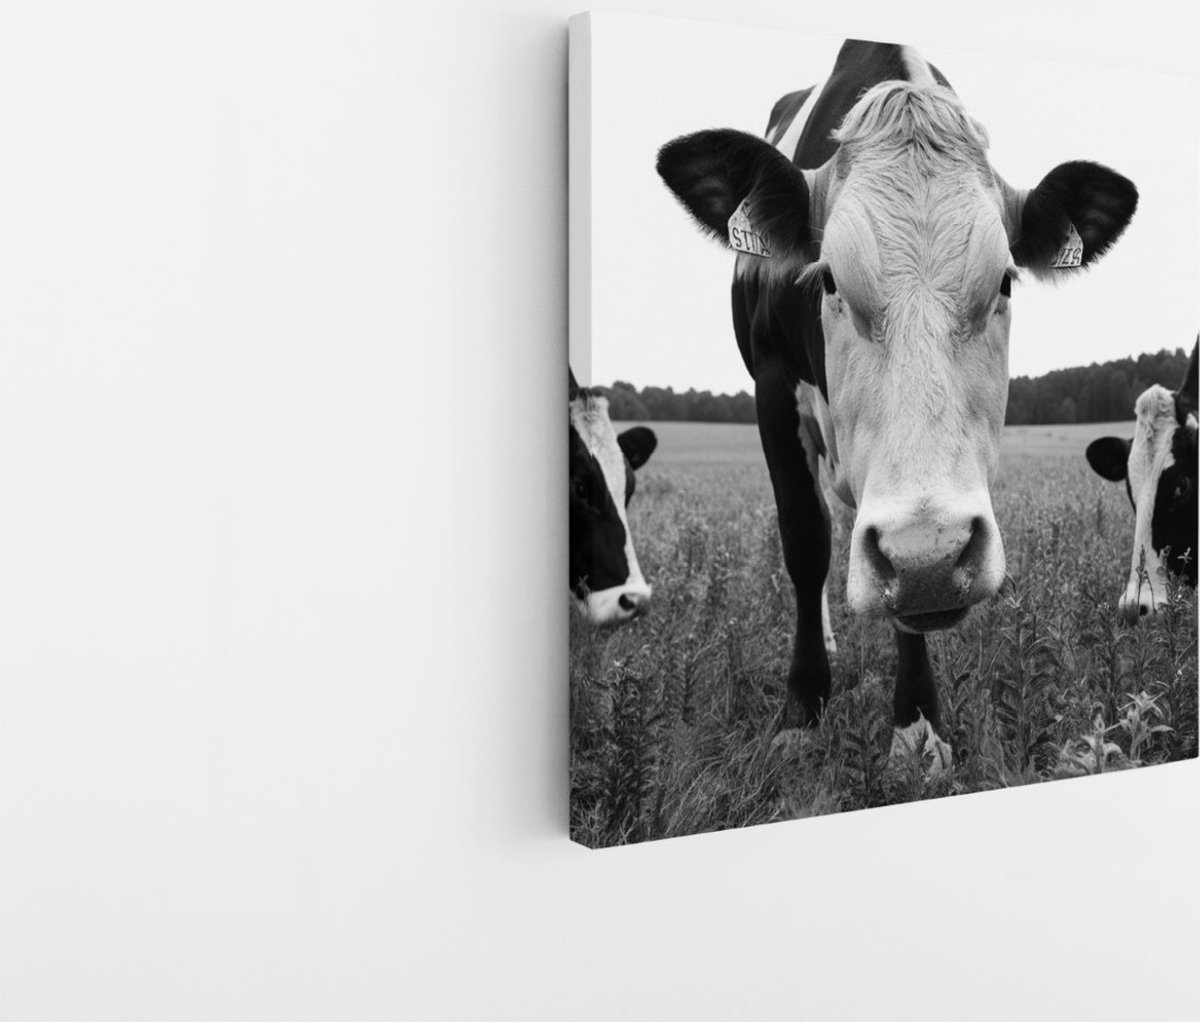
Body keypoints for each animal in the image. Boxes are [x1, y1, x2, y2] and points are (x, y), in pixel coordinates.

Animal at [656, 39, 1138, 769]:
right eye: (827, 279)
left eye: (1005, 282)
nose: (929, 556)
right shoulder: (770, 381)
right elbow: (804, 539)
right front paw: (802, 709)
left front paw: (917, 727)